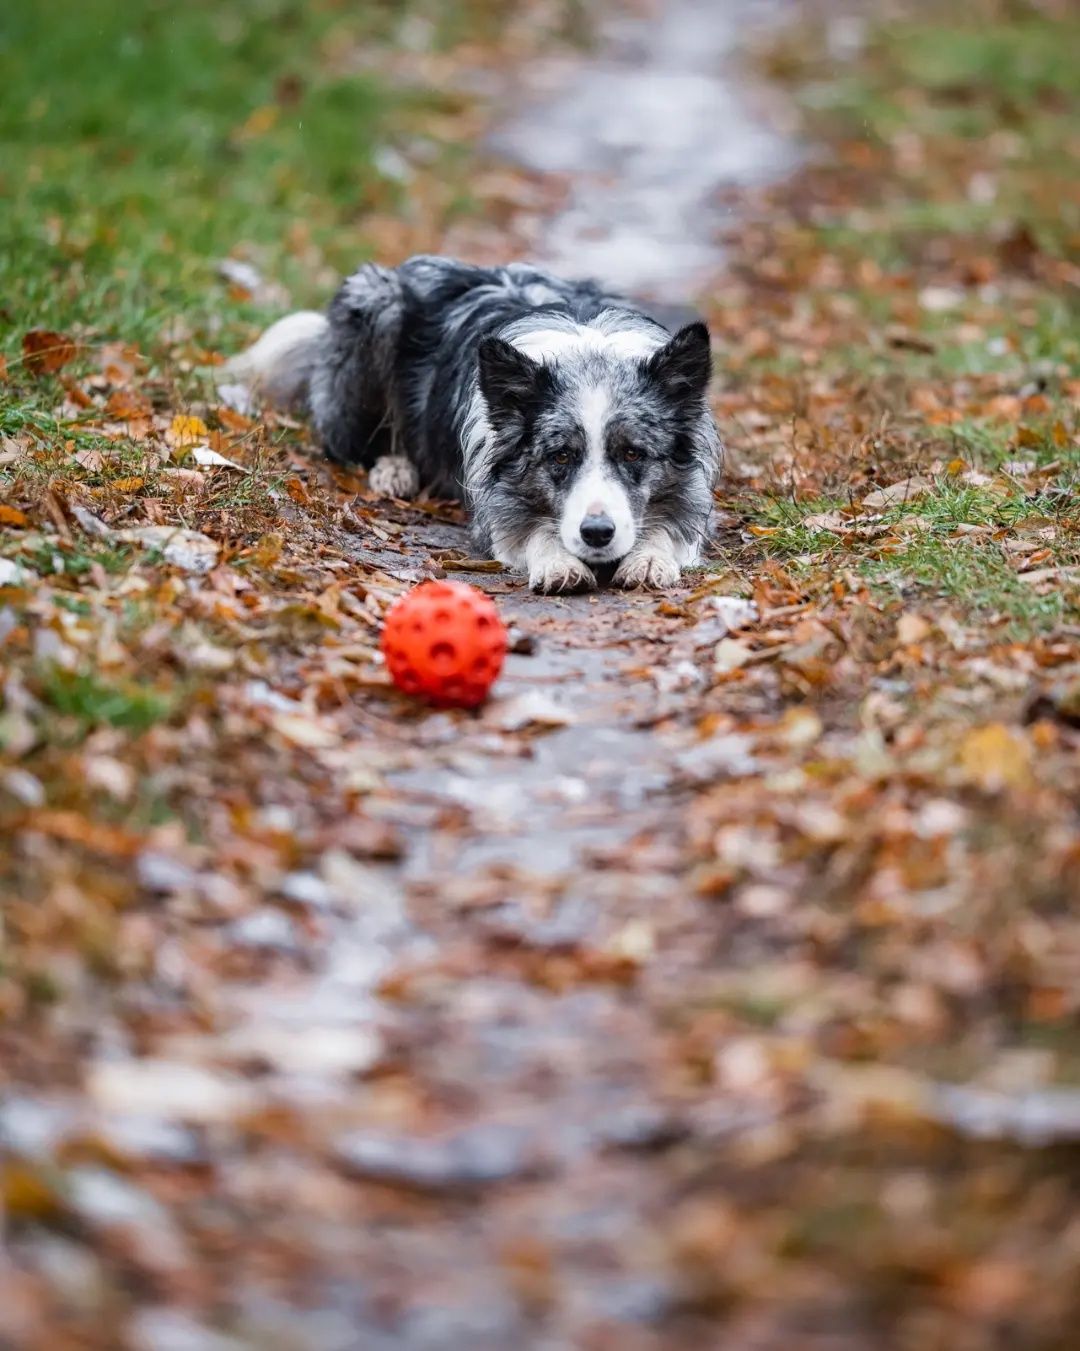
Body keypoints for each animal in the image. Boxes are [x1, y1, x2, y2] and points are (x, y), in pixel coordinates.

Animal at [224, 253, 724, 591]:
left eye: (634, 453)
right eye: (561, 456)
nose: (597, 534)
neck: (588, 351)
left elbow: (672, 523)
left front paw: (650, 558)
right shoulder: (490, 500)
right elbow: (525, 528)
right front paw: (557, 562)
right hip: (374, 310)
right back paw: (394, 469)